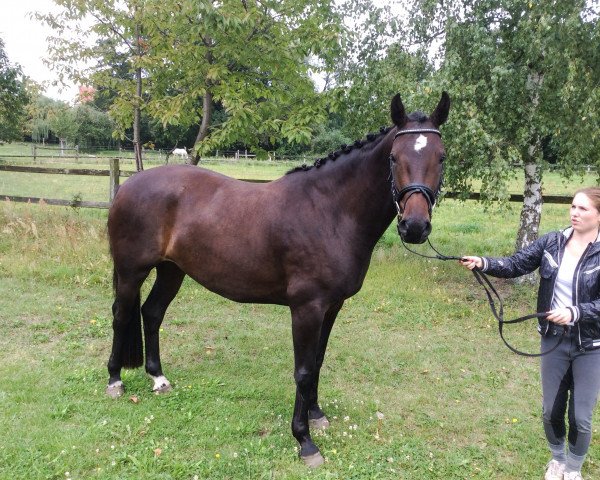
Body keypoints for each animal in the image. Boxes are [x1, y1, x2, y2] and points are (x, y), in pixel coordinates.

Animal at [105, 92, 448, 466]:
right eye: (394, 158)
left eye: (441, 157)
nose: (414, 227)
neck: (330, 212)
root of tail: (128, 185)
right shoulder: (307, 308)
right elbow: (303, 370)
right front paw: (305, 440)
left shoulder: (332, 307)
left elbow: (317, 361)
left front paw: (316, 414)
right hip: (131, 272)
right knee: (122, 315)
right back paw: (115, 381)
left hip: (172, 270)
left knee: (151, 313)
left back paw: (158, 378)